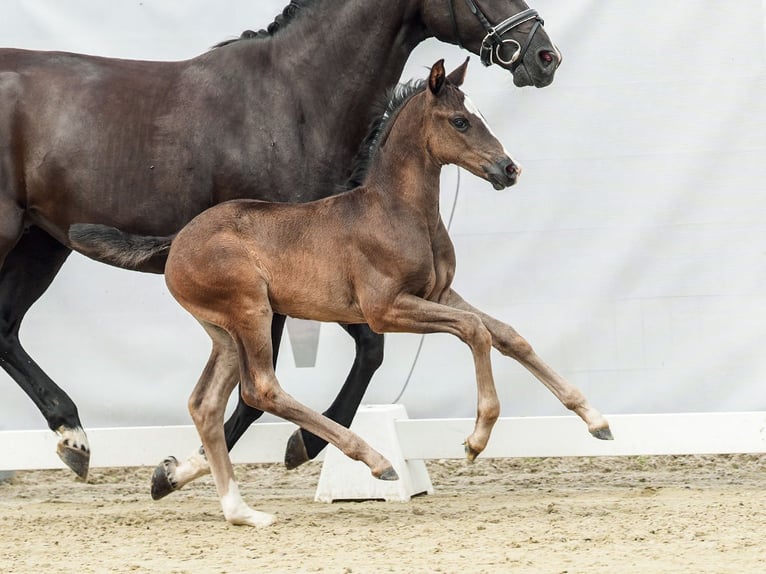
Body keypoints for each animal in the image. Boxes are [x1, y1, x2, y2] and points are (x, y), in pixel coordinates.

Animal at [70, 59, 612, 528]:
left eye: (480, 116)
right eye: (460, 121)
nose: (508, 169)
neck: (397, 210)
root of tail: (175, 240)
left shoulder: (440, 293)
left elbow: (507, 333)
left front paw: (596, 420)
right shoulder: (384, 310)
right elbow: (476, 332)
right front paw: (477, 439)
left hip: (223, 331)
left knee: (205, 403)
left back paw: (236, 509)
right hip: (251, 311)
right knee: (261, 389)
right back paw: (372, 460)